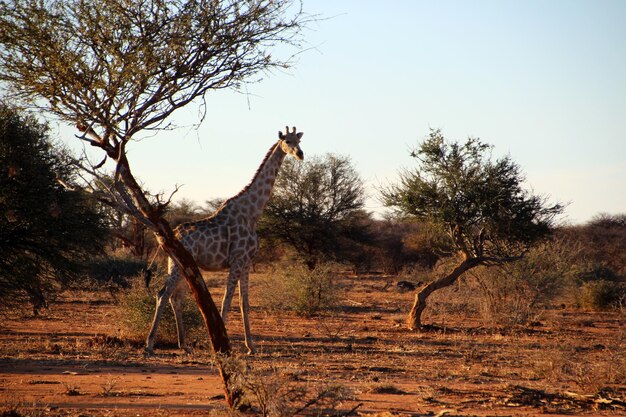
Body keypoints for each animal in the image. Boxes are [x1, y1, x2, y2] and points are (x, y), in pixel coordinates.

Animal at [146, 125, 302, 352]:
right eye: (287, 141)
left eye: (299, 141)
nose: (300, 154)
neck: (252, 214)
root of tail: (167, 237)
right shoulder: (237, 260)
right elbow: (227, 300)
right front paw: (222, 345)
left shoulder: (247, 262)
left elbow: (244, 303)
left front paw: (250, 346)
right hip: (177, 266)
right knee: (162, 295)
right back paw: (150, 344)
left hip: (180, 265)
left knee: (176, 298)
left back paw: (184, 345)